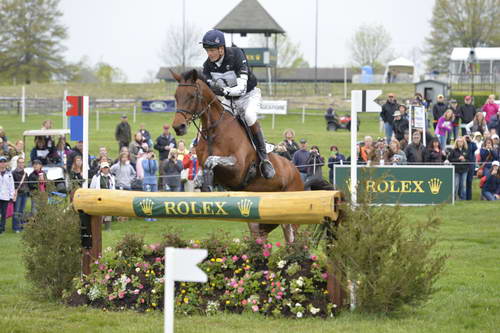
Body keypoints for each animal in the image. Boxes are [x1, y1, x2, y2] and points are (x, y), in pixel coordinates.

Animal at [171, 69, 304, 241]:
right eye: (176, 96)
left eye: (192, 96)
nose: (178, 127)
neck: (214, 131)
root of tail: (296, 171)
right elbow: (201, 169)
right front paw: (204, 182)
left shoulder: (238, 168)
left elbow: (210, 161)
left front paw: (208, 184)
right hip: (260, 221)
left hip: (289, 221)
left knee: (292, 240)